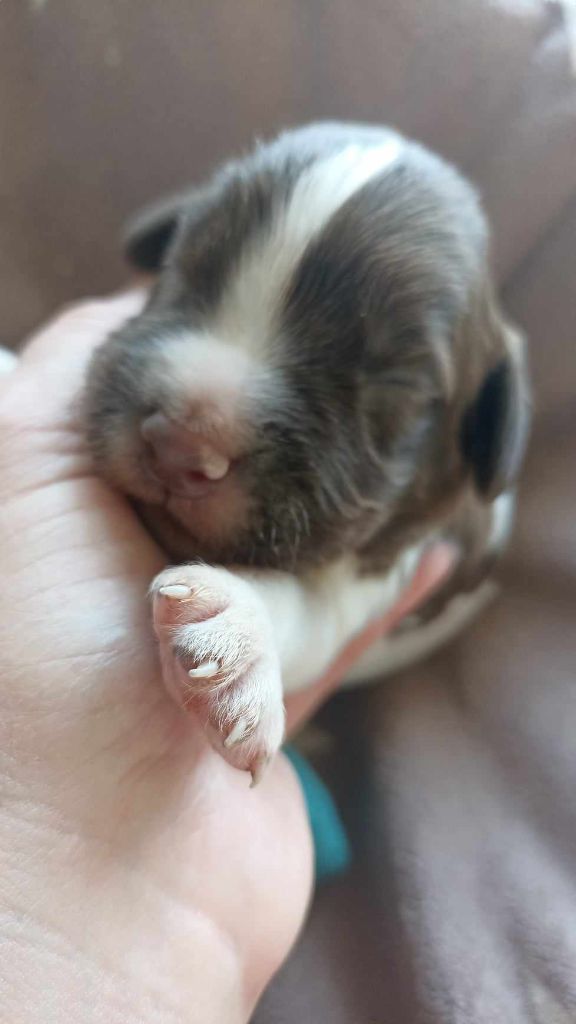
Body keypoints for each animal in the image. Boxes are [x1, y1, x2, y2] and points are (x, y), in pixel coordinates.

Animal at [83, 125, 528, 782]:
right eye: (182, 265)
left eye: (398, 387)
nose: (178, 443)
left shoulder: (390, 570)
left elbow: (313, 613)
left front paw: (241, 630)